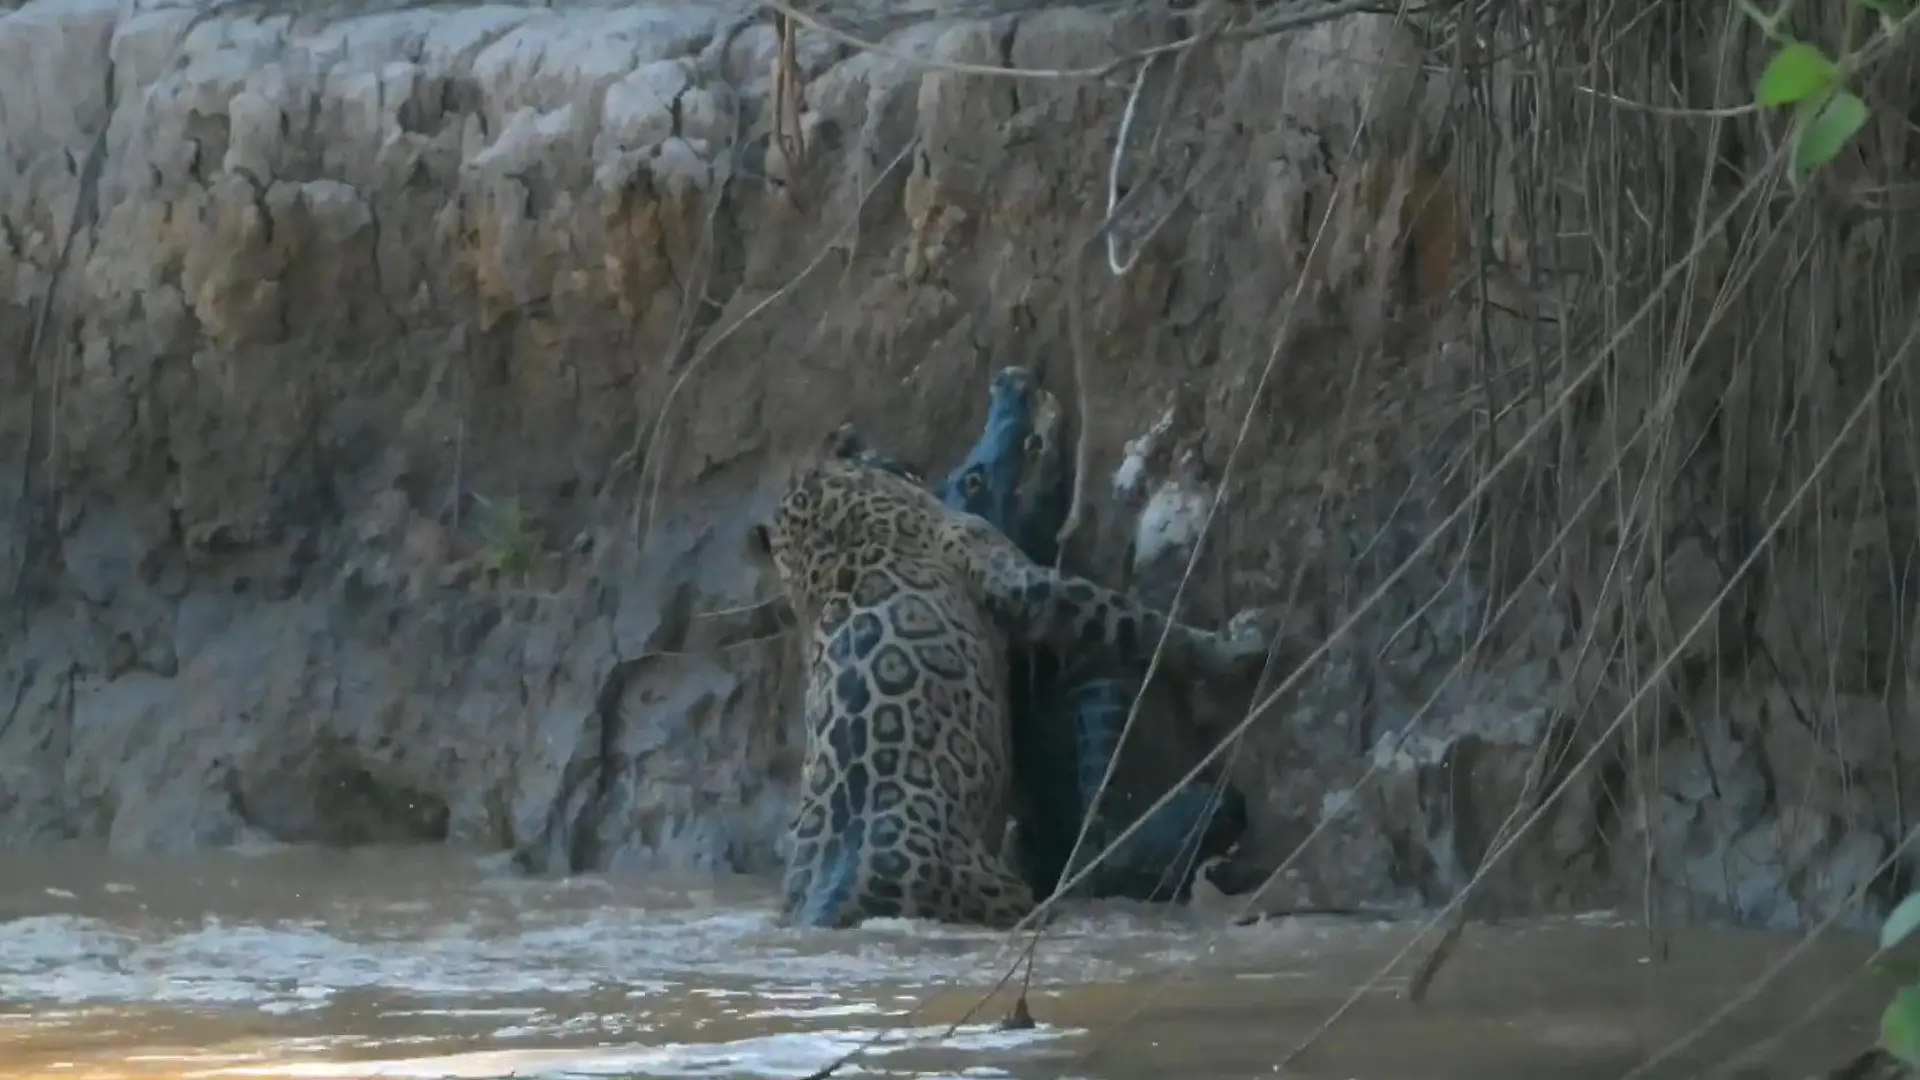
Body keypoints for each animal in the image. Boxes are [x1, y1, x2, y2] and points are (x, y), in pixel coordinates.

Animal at [753, 406, 1274, 929]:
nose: (861, 433)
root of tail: (826, 904)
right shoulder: (1015, 576)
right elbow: (1136, 622)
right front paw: (1240, 645)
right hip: (999, 891)